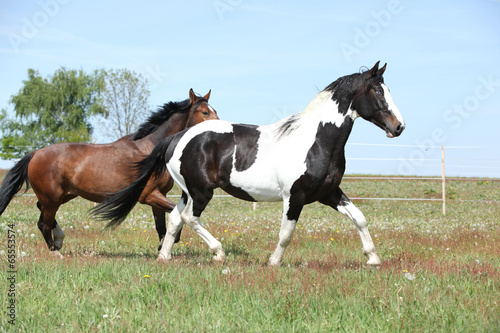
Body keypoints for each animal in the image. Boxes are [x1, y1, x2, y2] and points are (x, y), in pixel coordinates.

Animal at [0, 87, 219, 254]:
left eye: (214, 110)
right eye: (204, 112)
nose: (219, 128)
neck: (151, 148)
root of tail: (35, 153)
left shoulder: (159, 195)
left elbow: (161, 226)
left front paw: (163, 246)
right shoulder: (148, 195)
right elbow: (174, 214)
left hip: (62, 196)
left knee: (41, 213)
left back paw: (60, 240)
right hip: (52, 197)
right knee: (43, 223)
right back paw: (56, 252)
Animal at [94, 61, 406, 266]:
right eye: (378, 92)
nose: (399, 127)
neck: (316, 140)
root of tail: (177, 137)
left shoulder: (328, 193)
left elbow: (360, 218)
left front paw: (373, 259)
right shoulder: (295, 196)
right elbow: (286, 234)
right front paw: (273, 262)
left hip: (187, 191)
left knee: (174, 219)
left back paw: (164, 257)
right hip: (201, 192)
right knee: (189, 218)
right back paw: (218, 252)